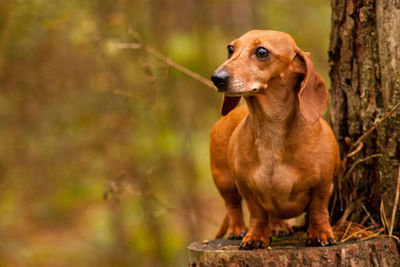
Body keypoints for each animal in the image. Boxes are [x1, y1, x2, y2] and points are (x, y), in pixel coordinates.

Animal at [211, 30, 340, 250]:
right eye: (230, 49)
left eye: (262, 52)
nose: (217, 78)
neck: (270, 130)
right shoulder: (246, 188)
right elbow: (256, 214)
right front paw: (255, 237)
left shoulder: (323, 185)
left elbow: (318, 210)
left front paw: (320, 234)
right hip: (224, 180)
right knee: (233, 206)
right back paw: (237, 230)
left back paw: (279, 226)